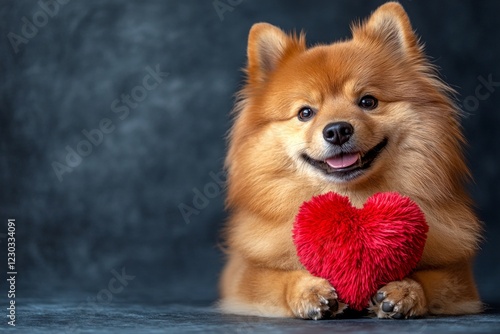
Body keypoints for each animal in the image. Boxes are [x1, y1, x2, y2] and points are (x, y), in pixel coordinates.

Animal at [220, 1, 484, 320]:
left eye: (368, 101)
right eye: (305, 112)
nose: (337, 130)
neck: (354, 201)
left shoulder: (459, 277)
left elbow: (431, 278)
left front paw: (404, 291)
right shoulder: (243, 275)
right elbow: (273, 278)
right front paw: (308, 290)